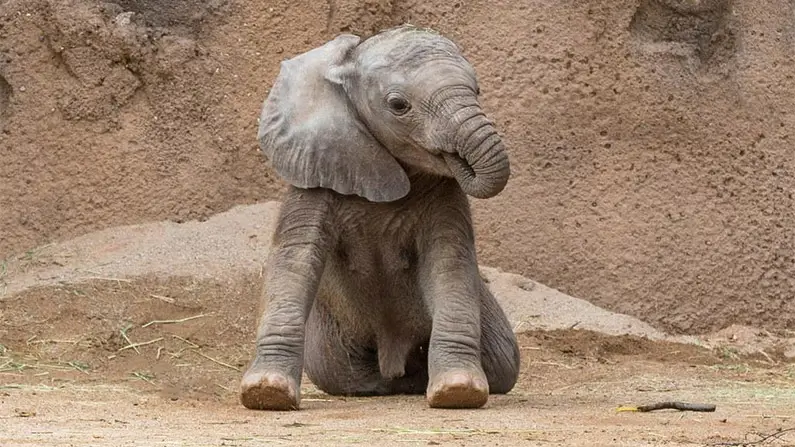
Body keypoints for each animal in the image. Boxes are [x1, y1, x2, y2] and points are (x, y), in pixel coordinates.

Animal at [240, 25, 520, 411]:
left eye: (477, 91)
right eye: (398, 105)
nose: (458, 158)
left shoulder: (446, 194)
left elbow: (449, 263)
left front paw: (457, 391)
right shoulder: (315, 170)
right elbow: (294, 260)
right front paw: (267, 393)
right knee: (338, 371)